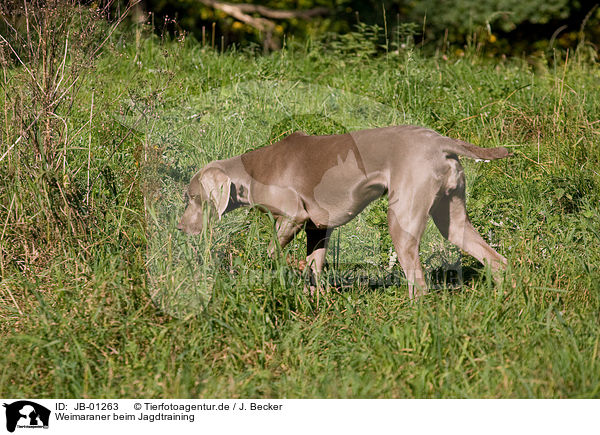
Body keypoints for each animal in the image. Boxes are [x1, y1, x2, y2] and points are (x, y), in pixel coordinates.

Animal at [178, 124, 510, 298]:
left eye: (192, 197)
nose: (180, 228)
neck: (254, 170)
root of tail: (440, 142)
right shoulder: (318, 227)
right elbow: (314, 264)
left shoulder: (295, 215)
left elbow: (274, 251)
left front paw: (290, 267)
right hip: (451, 217)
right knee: (497, 261)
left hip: (402, 221)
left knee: (418, 282)